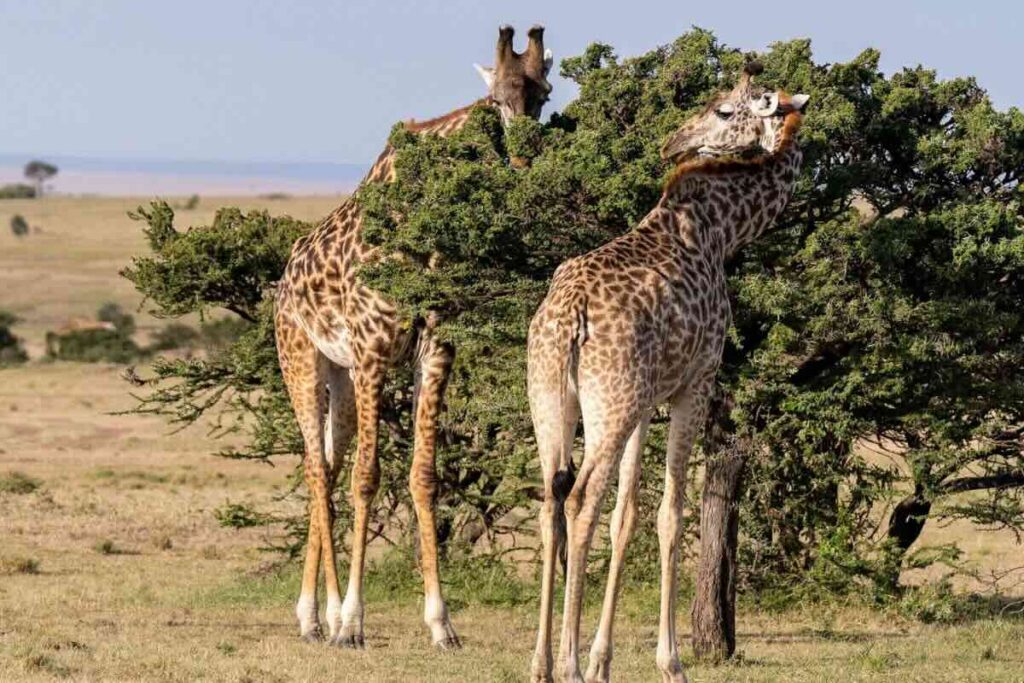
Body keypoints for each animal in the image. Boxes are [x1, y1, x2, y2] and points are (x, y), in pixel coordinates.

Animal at [274, 24, 552, 651]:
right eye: (495, 101)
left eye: (544, 97)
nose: (525, 160)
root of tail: (282, 282)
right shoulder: (374, 353)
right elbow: (368, 478)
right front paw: (353, 622)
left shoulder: (436, 351)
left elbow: (424, 476)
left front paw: (441, 623)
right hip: (302, 362)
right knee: (317, 470)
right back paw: (323, 616)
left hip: (341, 380)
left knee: (327, 467)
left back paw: (312, 615)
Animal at [528, 61, 806, 679]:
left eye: (723, 108)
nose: (672, 143)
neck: (721, 229)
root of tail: (568, 316)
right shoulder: (695, 382)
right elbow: (671, 515)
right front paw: (669, 659)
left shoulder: (644, 402)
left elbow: (627, 516)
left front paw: (605, 661)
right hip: (608, 405)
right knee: (581, 499)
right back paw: (567, 664)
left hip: (553, 400)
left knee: (552, 501)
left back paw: (540, 663)